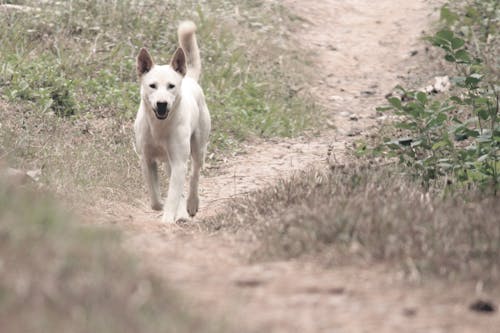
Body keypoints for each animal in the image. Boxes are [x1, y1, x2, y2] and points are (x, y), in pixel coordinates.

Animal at [134, 21, 210, 223]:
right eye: (152, 85)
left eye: (171, 86)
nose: (162, 104)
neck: (160, 127)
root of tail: (189, 78)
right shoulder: (147, 160)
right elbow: (155, 197)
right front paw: (161, 206)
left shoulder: (178, 161)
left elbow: (174, 194)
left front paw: (168, 218)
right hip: (169, 161)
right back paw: (182, 212)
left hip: (197, 148)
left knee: (194, 176)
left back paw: (191, 205)